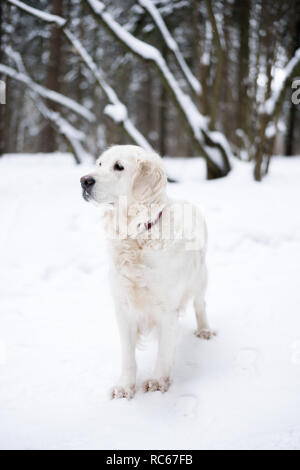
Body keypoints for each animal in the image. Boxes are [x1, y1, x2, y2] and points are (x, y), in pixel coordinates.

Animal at [81, 145, 214, 398]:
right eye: (100, 164)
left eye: (119, 167)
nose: (84, 181)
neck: (138, 235)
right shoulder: (123, 307)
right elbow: (128, 356)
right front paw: (125, 386)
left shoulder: (167, 309)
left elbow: (164, 352)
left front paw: (157, 381)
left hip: (200, 278)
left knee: (200, 305)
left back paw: (204, 331)